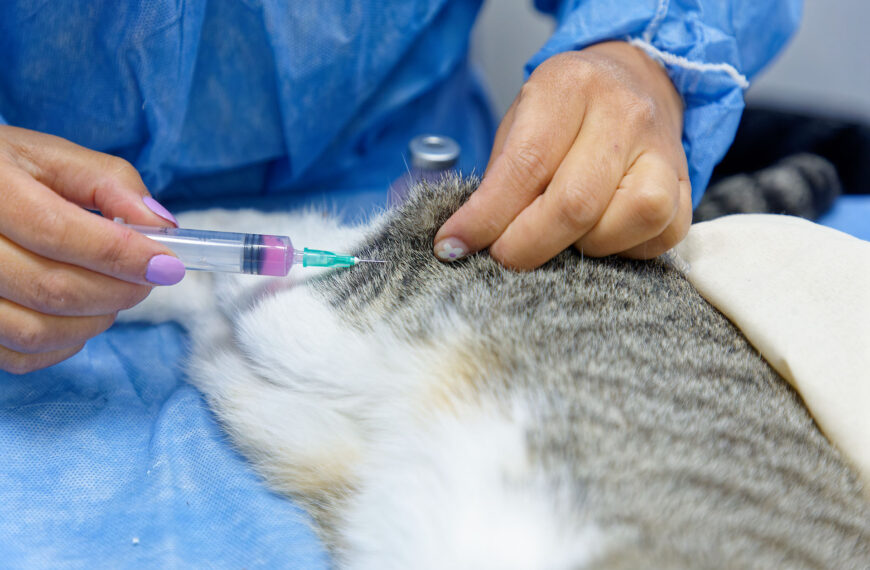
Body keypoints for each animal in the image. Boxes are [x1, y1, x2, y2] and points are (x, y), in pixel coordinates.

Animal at [131, 175, 870, 564]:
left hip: (300, 414)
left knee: (223, 324)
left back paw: (160, 262)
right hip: (365, 306)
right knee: (268, 269)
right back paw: (160, 232)